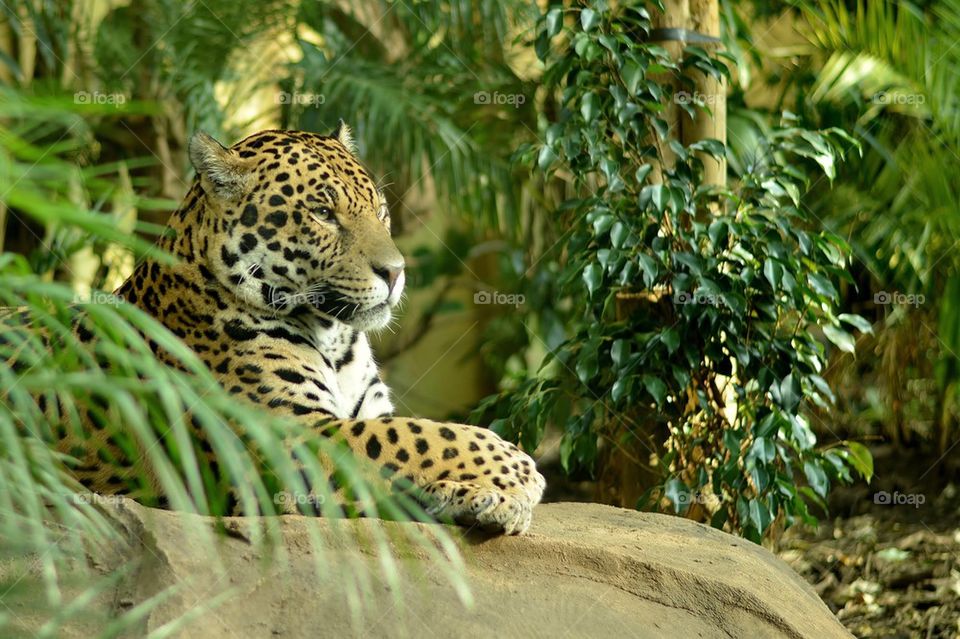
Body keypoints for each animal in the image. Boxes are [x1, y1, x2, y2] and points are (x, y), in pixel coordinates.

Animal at [65, 125, 545, 534]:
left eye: (381, 211)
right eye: (322, 213)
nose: (395, 272)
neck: (334, 337)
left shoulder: (368, 411)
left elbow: (417, 440)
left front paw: (483, 497)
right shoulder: (286, 434)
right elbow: (419, 436)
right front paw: (519, 469)